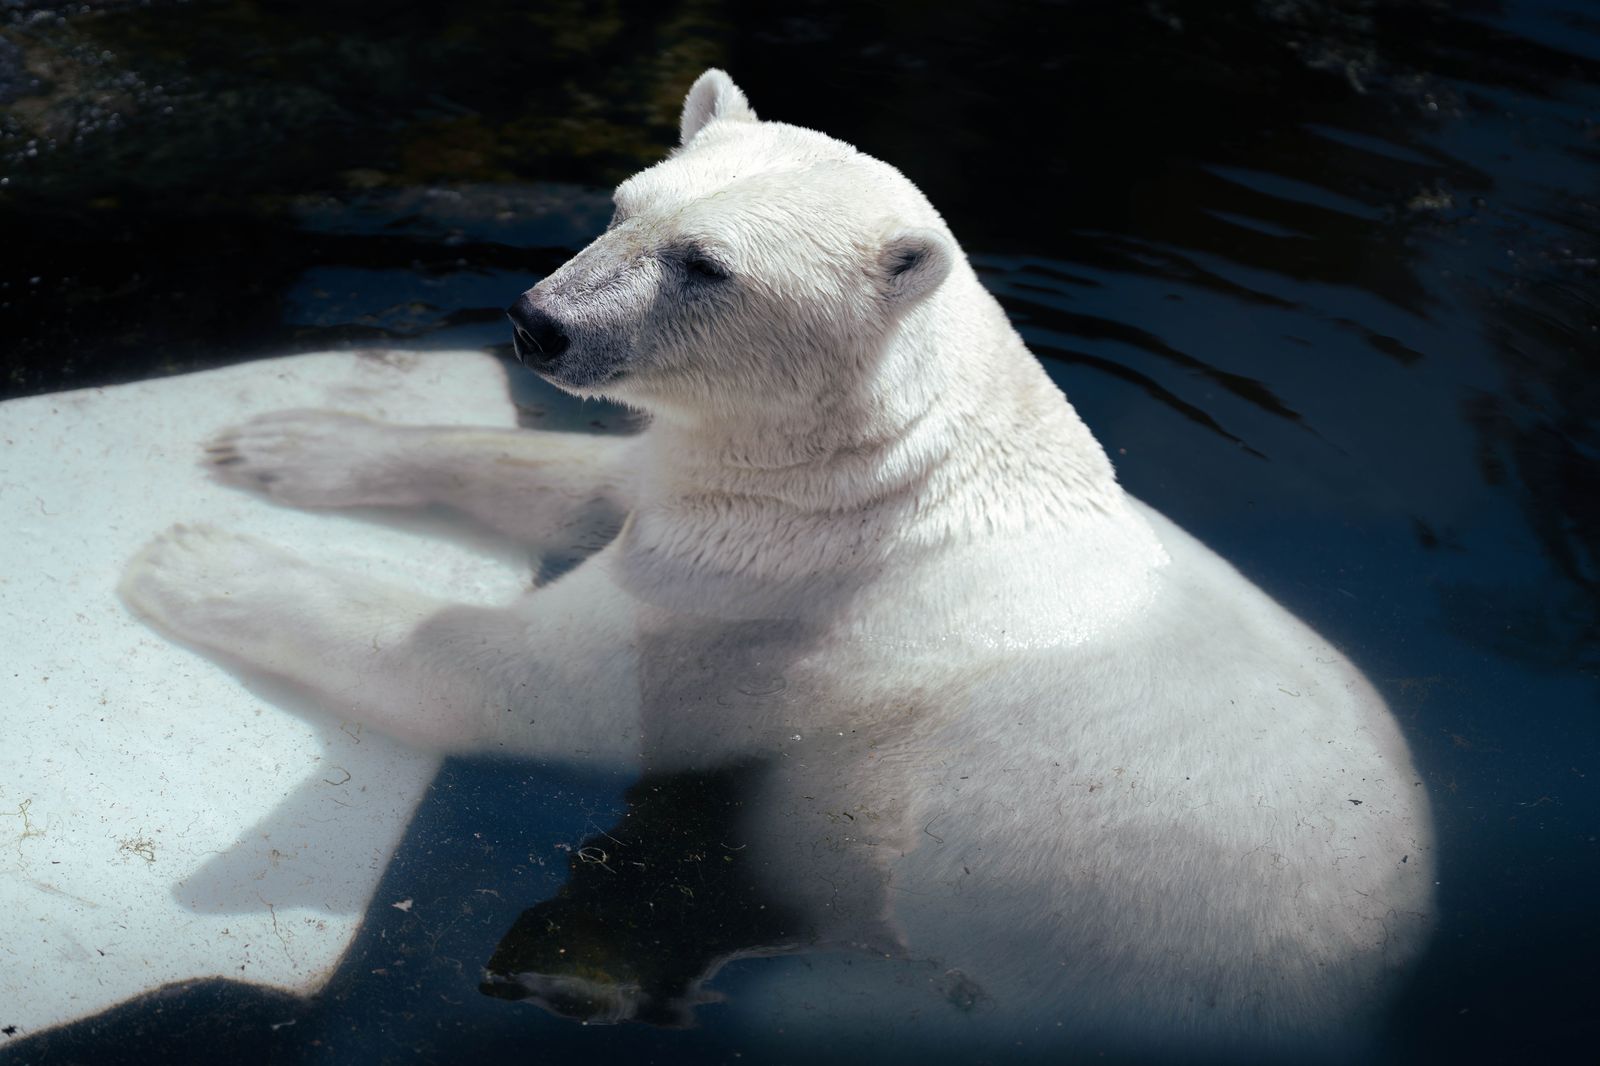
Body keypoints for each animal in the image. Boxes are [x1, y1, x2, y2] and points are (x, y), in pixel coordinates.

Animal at [120, 69, 1433, 1060]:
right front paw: (287, 443)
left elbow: (513, 682)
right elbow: (599, 484)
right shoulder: (727, 510)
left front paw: (195, 559)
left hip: (1039, 982)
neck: (903, 472)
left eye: (706, 264)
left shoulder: (773, 609)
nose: (539, 322)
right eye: (623, 201)